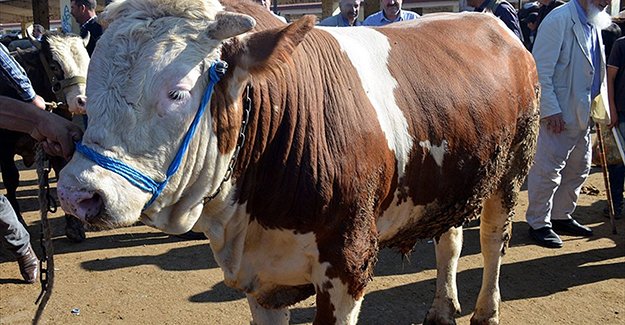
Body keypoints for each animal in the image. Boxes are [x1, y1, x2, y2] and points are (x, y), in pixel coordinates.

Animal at [56, 1, 540, 322]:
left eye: (176, 92)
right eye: (89, 86)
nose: (78, 193)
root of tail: (492, 23)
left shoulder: (348, 264)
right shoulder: (260, 278)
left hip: (512, 168)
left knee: (492, 239)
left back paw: (485, 310)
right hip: (452, 178)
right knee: (450, 239)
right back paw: (442, 307)